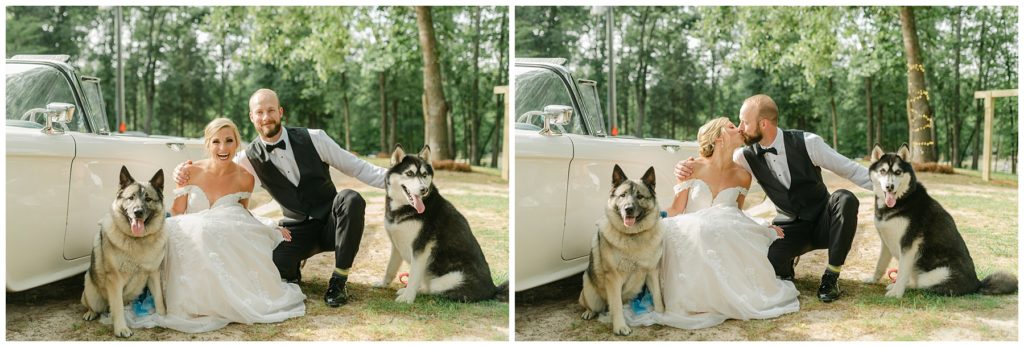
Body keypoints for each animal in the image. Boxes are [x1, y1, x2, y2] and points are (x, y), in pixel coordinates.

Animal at [81, 166, 166, 337]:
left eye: (148, 199)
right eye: (131, 198)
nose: (138, 212)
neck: (138, 240)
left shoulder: (154, 274)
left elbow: (159, 298)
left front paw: (164, 317)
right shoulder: (115, 280)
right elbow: (118, 307)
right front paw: (121, 328)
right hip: (90, 289)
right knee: (93, 305)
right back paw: (90, 313)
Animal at [380, 144, 507, 305]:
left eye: (424, 175)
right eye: (409, 173)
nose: (423, 190)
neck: (404, 208)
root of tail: (493, 289)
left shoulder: (420, 249)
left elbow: (413, 277)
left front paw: (407, 299)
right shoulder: (396, 245)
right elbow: (390, 268)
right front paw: (382, 284)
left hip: (448, 279)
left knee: (430, 288)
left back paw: (411, 291)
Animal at [872, 144, 1015, 298]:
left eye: (898, 172)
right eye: (882, 171)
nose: (889, 187)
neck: (902, 200)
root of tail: (977, 283)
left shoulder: (908, 245)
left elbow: (902, 274)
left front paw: (897, 293)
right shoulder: (886, 243)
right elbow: (880, 265)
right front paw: (872, 280)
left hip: (932, 275)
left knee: (920, 284)